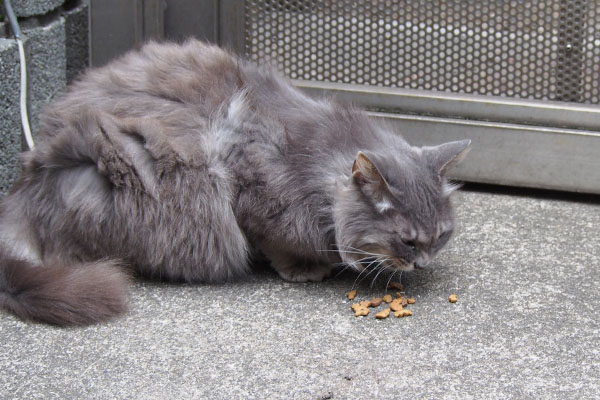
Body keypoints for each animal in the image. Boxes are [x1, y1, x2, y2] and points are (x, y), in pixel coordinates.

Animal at [0, 40, 468, 324]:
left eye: (442, 236)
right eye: (407, 241)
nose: (423, 264)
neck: (316, 162)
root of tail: (29, 181)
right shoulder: (253, 190)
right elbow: (277, 239)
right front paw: (303, 268)